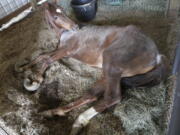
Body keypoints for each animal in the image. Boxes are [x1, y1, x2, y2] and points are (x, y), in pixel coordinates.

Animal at [15, 2, 169, 135]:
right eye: (56, 16)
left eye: (63, 11)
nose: (75, 27)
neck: (66, 34)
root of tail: (157, 56)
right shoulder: (61, 50)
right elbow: (42, 55)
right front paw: (22, 68)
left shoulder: (66, 51)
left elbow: (47, 59)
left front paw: (35, 79)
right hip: (113, 74)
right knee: (93, 95)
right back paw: (64, 117)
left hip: (111, 64)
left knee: (111, 97)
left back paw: (62, 115)